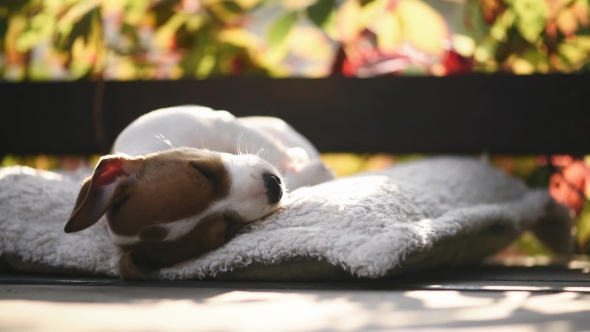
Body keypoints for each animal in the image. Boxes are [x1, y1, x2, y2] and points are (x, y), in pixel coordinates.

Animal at [66, 105, 336, 280]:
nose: (274, 185)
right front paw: (311, 172)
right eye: (226, 229)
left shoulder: (220, 123)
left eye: (203, 171)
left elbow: (264, 145)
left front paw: (299, 161)